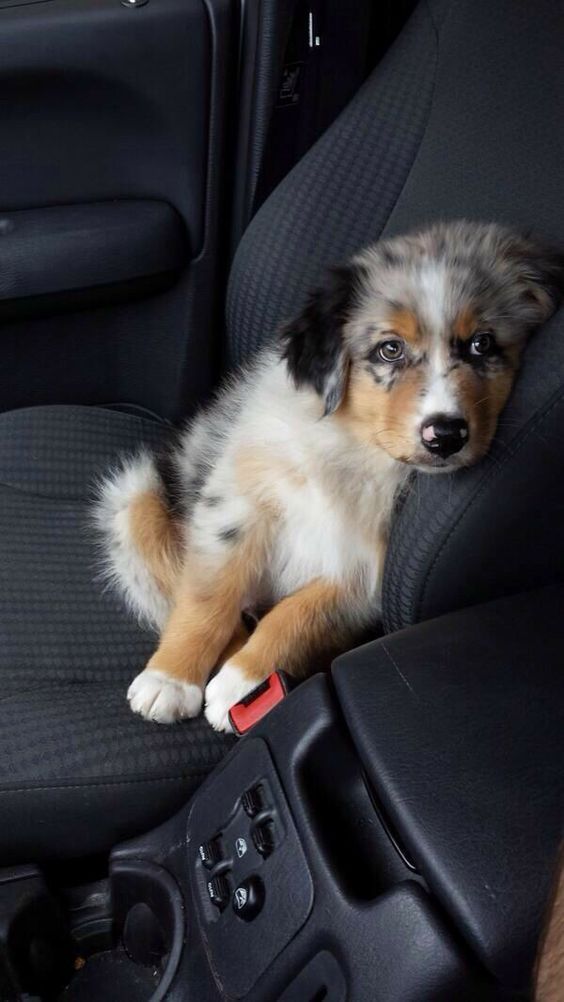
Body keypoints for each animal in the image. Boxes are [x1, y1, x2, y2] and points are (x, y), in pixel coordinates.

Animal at [96, 223, 564, 733]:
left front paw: (243, 681)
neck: (355, 451)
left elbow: (300, 613)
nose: (445, 434)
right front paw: (172, 678)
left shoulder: (368, 570)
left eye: (482, 344)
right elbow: (208, 595)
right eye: (389, 349)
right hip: (136, 499)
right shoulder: (236, 502)